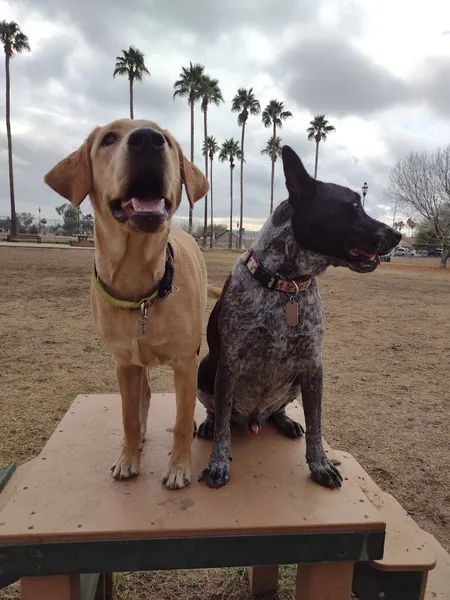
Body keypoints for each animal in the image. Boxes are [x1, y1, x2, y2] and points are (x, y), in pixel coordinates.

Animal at [44, 119, 209, 490]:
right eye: (108, 139)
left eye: (169, 142)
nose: (148, 140)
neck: (141, 287)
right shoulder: (123, 363)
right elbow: (128, 416)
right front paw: (128, 458)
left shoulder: (186, 362)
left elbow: (182, 418)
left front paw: (179, 468)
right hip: (137, 361)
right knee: (143, 395)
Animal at [197, 146, 400, 492]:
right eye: (354, 205)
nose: (398, 235)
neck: (285, 285)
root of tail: (253, 419)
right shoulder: (229, 364)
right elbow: (223, 422)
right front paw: (218, 463)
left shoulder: (312, 365)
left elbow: (316, 423)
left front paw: (320, 464)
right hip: (205, 368)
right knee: (215, 410)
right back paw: (210, 425)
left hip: (292, 384)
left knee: (276, 409)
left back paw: (285, 420)